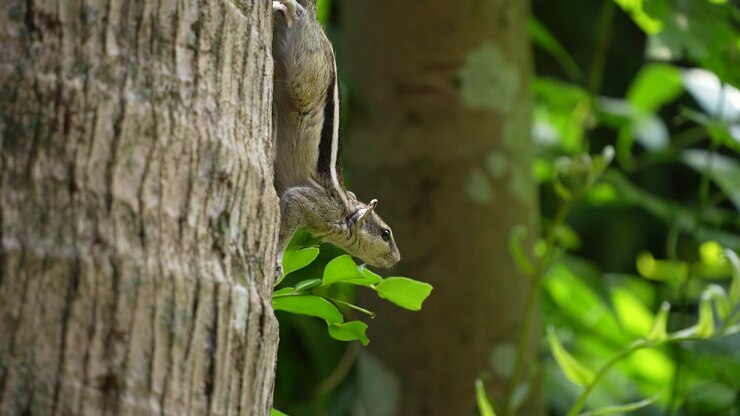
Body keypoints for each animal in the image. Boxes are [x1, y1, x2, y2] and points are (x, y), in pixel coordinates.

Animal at [272, 0, 401, 273]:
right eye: (385, 233)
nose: (397, 258)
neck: (345, 212)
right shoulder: (309, 203)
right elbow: (289, 215)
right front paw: (277, 259)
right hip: (306, 73)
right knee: (300, 14)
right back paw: (290, 7)